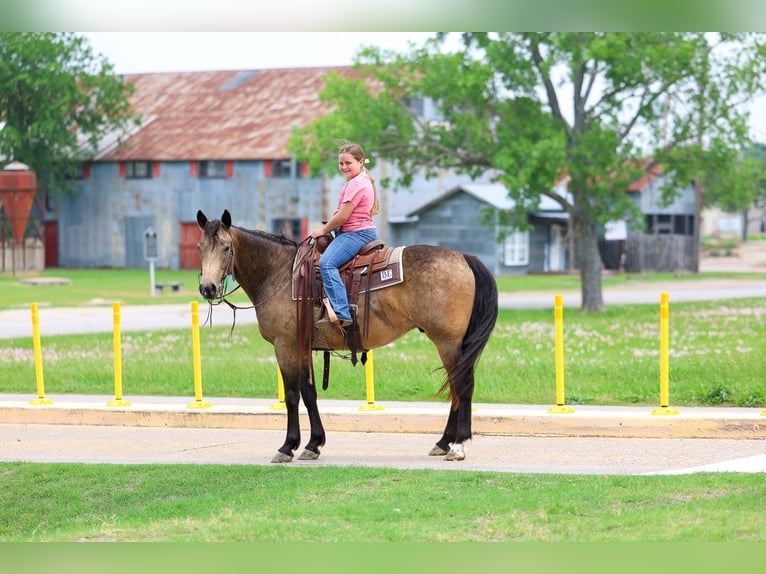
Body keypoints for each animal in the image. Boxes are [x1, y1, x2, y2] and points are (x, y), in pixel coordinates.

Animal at [196, 209, 498, 463]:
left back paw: (458, 445)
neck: (279, 274)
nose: (207, 288)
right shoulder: (303, 347)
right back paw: (444, 442)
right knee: (457, 387)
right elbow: (309, 393)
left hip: (447, 341)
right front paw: (313, 444)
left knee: (462, 386)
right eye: (200, 248)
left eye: (226, 248)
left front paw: (287, 447)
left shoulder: (285, 346)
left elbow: (292, 395)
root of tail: (464, 257)